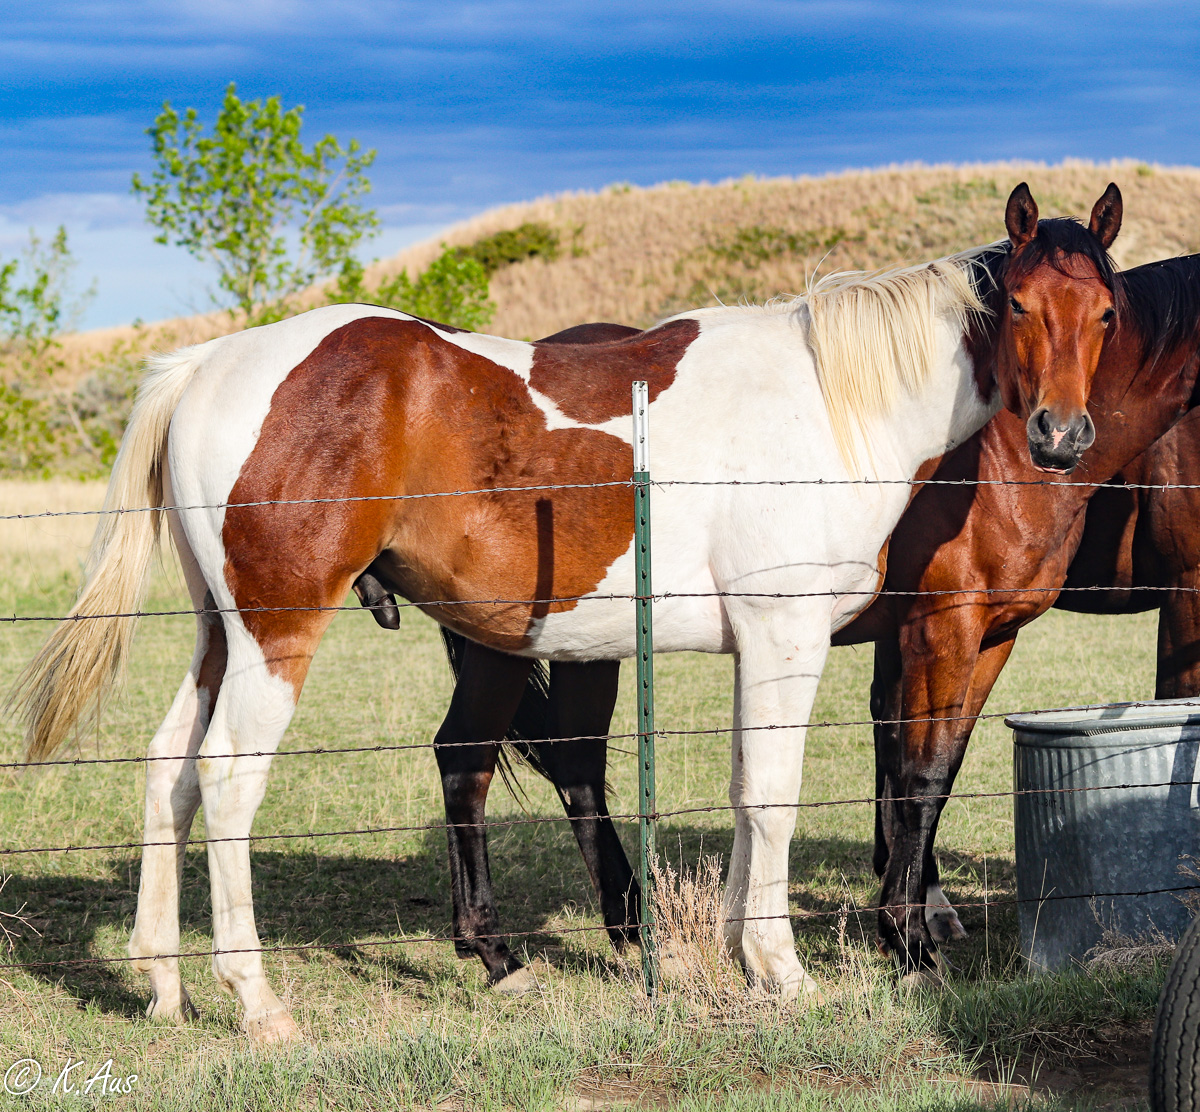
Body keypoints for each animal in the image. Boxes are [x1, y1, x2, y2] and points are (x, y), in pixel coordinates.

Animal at [14, 182, 1116, 1043]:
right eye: (1022, 303)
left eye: (1104, 310)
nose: (1061, 435)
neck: (829, 403)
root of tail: (208, 364)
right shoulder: (791, 635)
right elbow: (779, 797)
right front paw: (785, 969)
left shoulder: (773, 648)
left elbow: (749, 792)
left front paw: (734, 953)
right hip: (279, 636)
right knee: (229, 781)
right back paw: (257, 999)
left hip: (221, 634)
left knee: (169, 770)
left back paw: (164, 985)